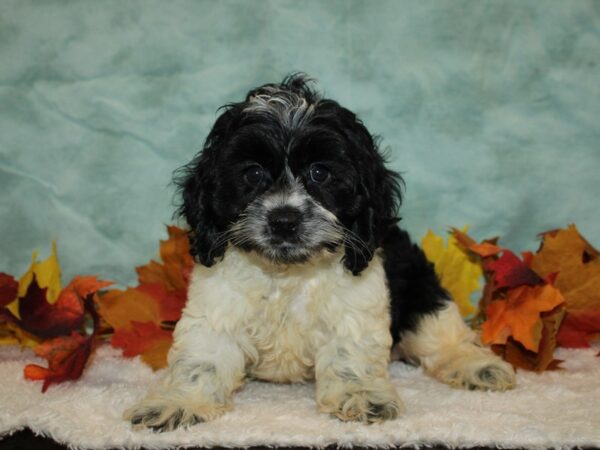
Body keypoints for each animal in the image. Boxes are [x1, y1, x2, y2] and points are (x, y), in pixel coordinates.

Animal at [123, 74, 516, 432]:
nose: (284, 220)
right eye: (252, 174)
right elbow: (202, 357)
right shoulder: (217, 301)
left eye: (320, 173)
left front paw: (362, 397)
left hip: (419, 284)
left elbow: (349, 352)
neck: (287, 273)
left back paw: (478, 366)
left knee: (440, 330)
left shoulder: (357, 301)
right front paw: (176, 402)